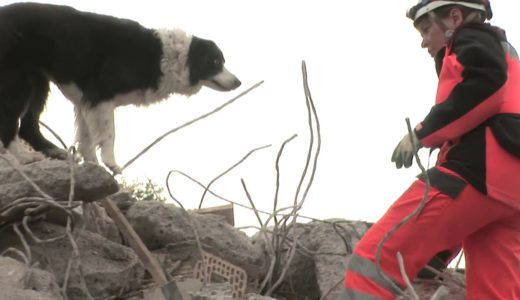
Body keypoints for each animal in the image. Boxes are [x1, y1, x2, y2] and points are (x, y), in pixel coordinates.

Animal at [0, 2, 241, 173]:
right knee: (11, 122)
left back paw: (57, 153)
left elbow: (87, 137)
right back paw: (24, 157)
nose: (238, 82)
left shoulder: (85, 102)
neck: (165, 56)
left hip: (39, 81)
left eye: (222, 61)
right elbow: (109, 133)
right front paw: (110, 164)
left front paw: (93, 165)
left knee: (28, 127)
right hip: (20, 80)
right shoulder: (101, 96)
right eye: (215, 62)